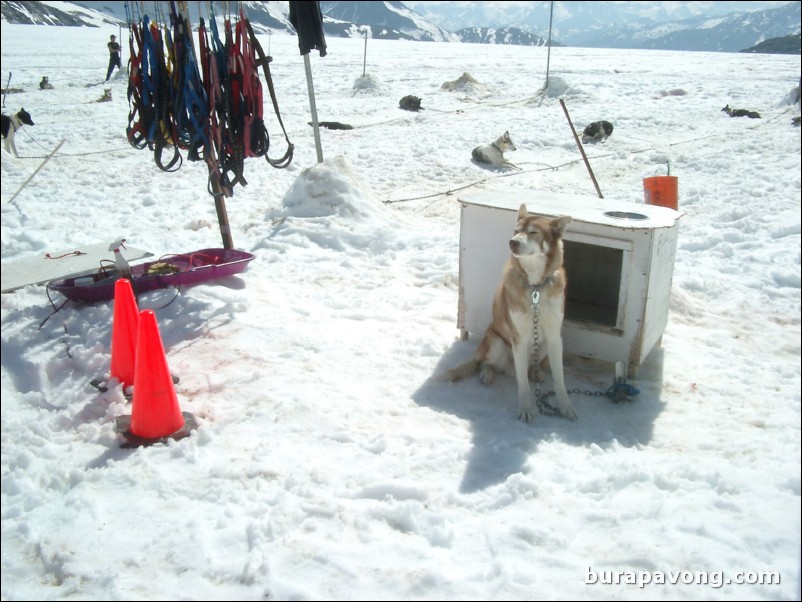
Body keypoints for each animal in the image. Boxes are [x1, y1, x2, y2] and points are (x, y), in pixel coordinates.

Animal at [450, 204, 576, 420]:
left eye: (533, 232)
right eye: (516, 231)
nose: (512, 242)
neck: (535, 287)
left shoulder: (554, 337)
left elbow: (560, 379)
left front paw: (565, 406)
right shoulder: (519, 338)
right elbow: (523, 384)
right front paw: (526, 409)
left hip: (542, 346)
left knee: (529, 368)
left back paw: (536, 373)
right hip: (496, 342)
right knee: (485, 363)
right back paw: (487, 374)